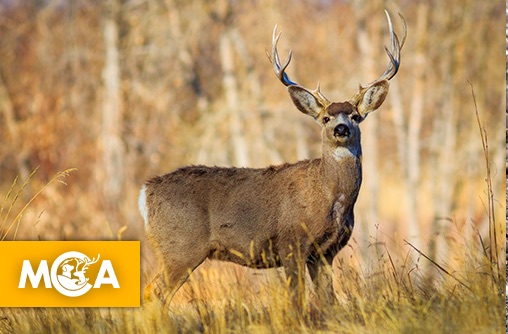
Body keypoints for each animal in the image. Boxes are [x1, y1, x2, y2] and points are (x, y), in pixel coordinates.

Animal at [138, 11, 404, 308]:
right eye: (326, 118)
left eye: (355, 116)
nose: (341, 129)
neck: (330, 197)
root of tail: (145, 192)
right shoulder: (291, 244)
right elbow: (296, 300)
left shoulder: (325, 253)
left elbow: (328, 302)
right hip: (180, 248)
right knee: (156, 293)